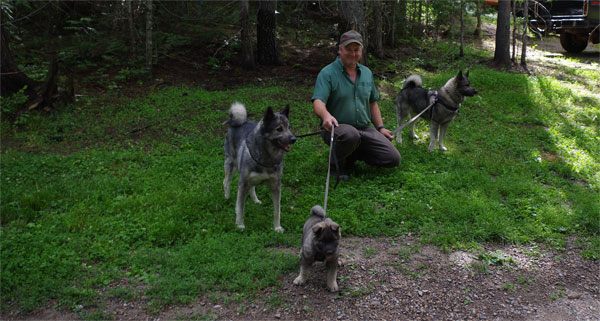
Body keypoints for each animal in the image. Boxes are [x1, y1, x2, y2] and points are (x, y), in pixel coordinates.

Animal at [223, 102, 296, 230]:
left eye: (289, 127)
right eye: (279, 129)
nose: (294, 139)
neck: (267, 158)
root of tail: (238, 121)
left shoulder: (276, 186)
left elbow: (277, 211)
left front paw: (277, 227)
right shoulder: (242, 184)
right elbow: (240, 208)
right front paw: (240, 225)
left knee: (252, 187)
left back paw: (255, 200)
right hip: (231, 164)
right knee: (226, 181)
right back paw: (226, 198)